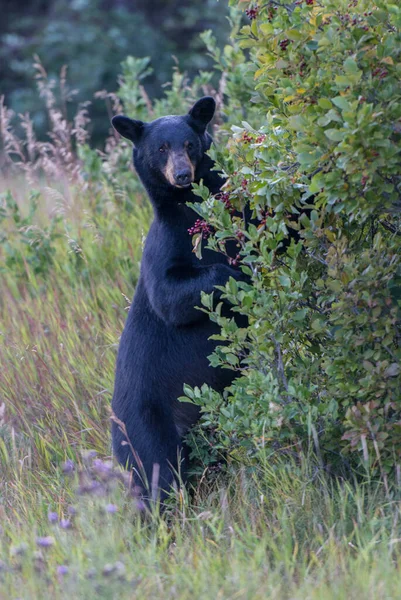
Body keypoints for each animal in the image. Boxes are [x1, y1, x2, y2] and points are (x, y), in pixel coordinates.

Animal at [111, 98, 245, 502]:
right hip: (145, 425)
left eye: (188, 143)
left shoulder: (235, 210)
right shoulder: (162, 247)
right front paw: (234, 276)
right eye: (160, 149)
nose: (183, 175)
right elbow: (169, 298)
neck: (190, 207)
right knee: (156, 472)